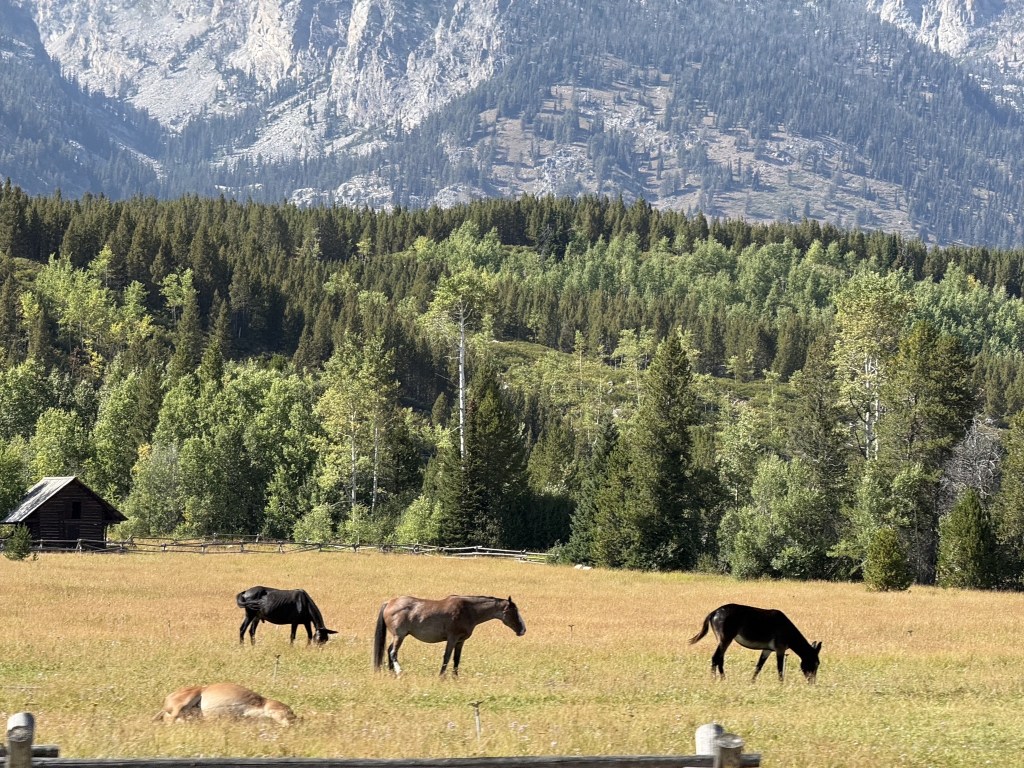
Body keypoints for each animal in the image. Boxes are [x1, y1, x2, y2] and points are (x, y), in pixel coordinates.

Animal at [372, 594, 526, 676]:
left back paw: (392, 672)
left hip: (399, 636)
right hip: (399, 636)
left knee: (389, 650)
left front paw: (455, 677)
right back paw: (399, 672)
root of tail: (389, 602)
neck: (468, 611)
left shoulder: (460, 641)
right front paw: (442, 676)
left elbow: (456, 659)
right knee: (393, 652)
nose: (523, 630)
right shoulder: (452, 639)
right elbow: (446, 657)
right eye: (513, 612)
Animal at [689, 603, 822, 683]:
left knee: (720, 658)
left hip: (723, 640)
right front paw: (781, 684)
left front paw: (752, 682)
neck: (787, 630)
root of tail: (714, 612)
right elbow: (779, 667)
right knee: (716, 657)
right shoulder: (780, 649)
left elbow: (759, 666)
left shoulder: (767, 650)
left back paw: (722, 679)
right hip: (725, 638)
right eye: (816, 663)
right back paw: (715, 679)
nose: (812, 683)